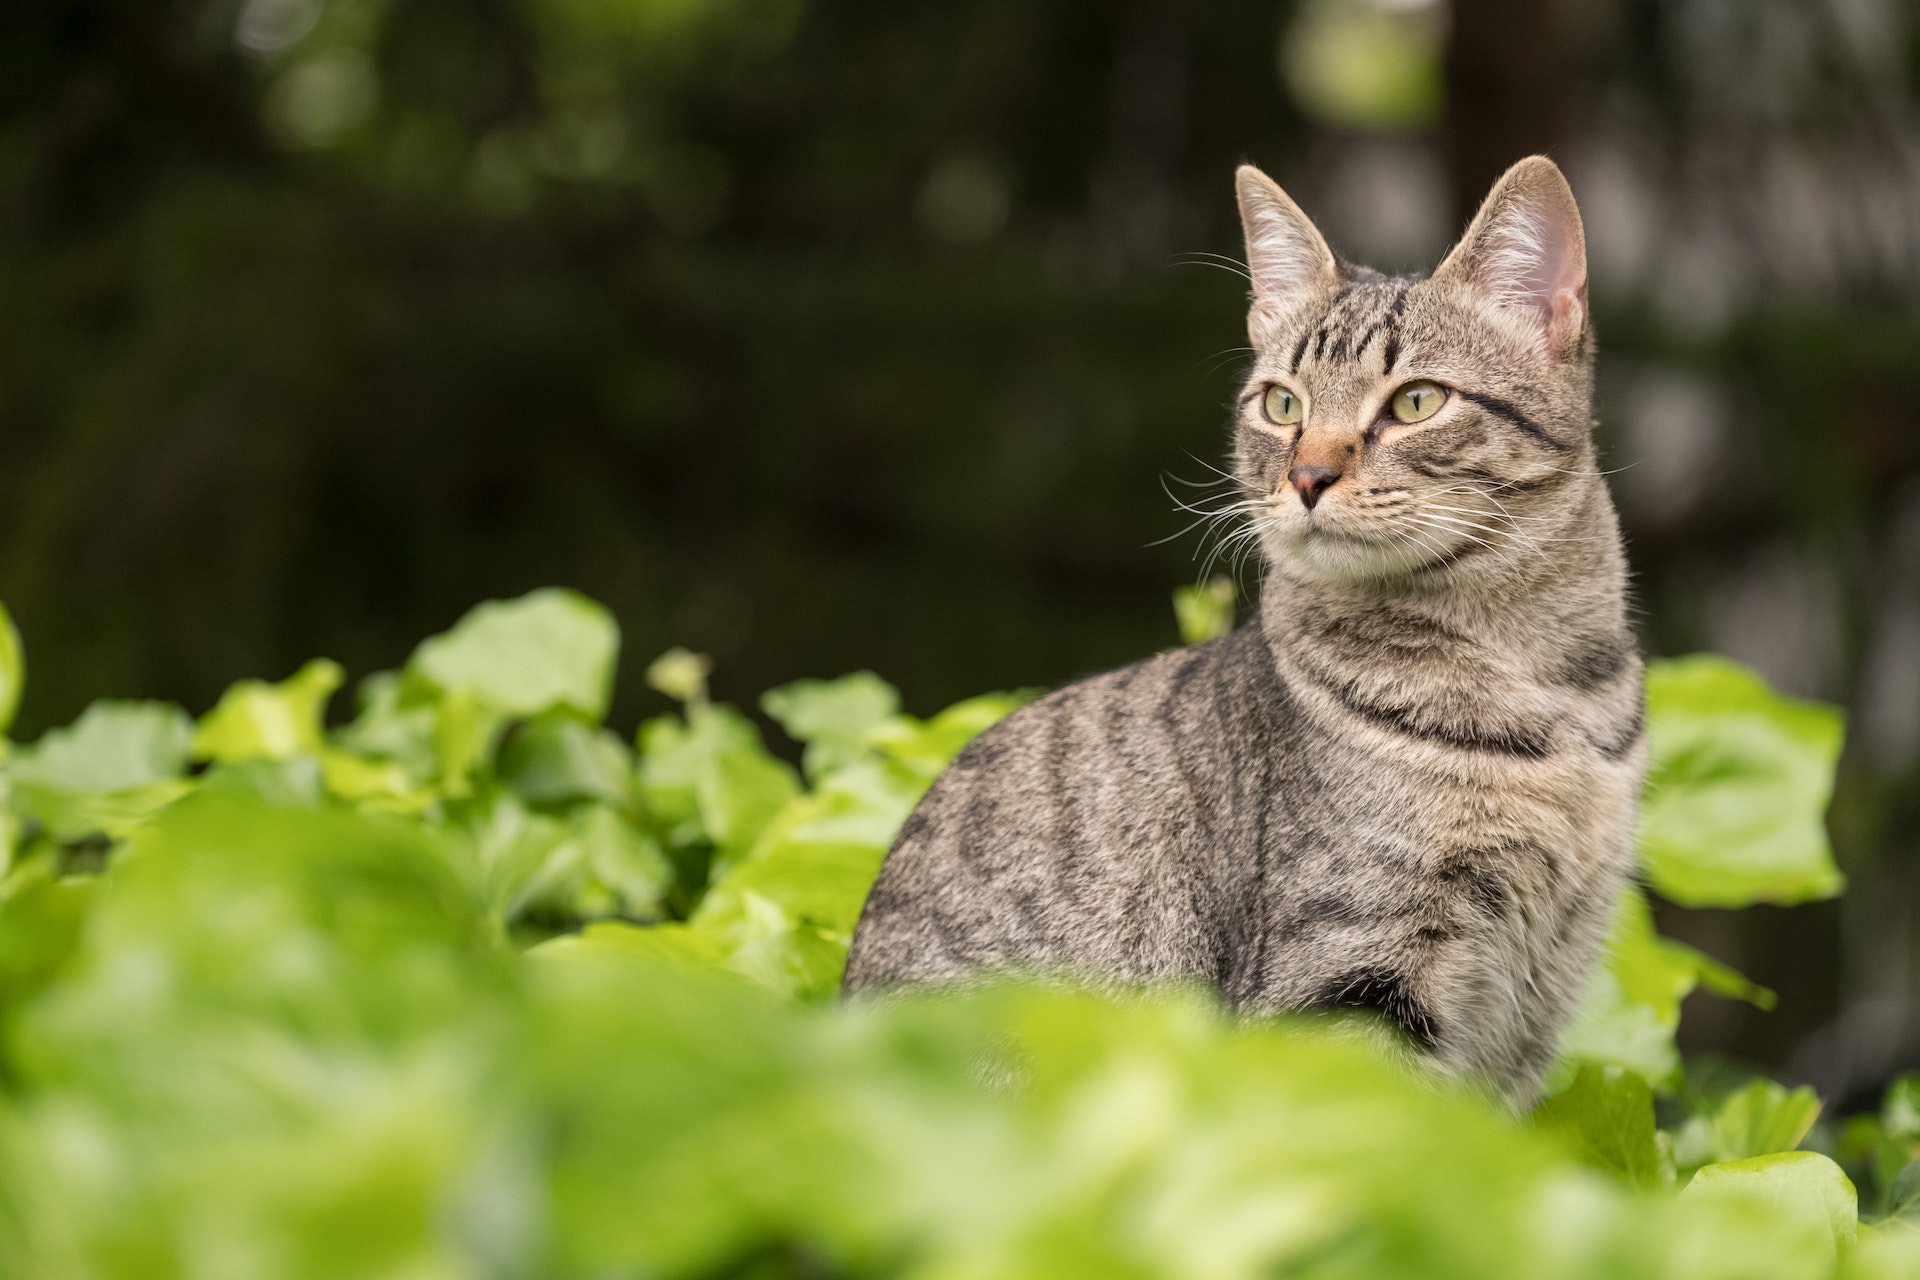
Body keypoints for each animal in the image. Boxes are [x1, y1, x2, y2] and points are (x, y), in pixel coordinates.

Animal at [844, 155, 1651, 1105]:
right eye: (1281, 404)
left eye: (1417, 401)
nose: (1307, 476)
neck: (1554, 693)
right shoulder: (1347, 976)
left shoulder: (1534, 1008)